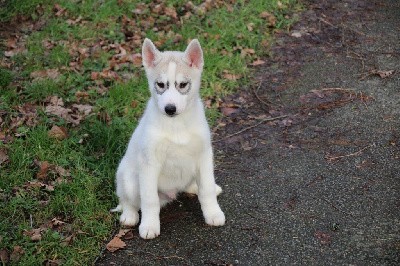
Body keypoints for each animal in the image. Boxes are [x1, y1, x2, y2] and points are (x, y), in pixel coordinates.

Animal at [113, 38, 225, 240]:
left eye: (182, 85)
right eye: (160, 84)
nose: (170, 109)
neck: (177, 125)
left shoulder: (204, 155)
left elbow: (206, 189)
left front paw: (213, 213)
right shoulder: (149, 163)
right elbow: (149, 200)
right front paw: (149, 226)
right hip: (129, 180)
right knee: (128, 200)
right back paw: (129, 216)